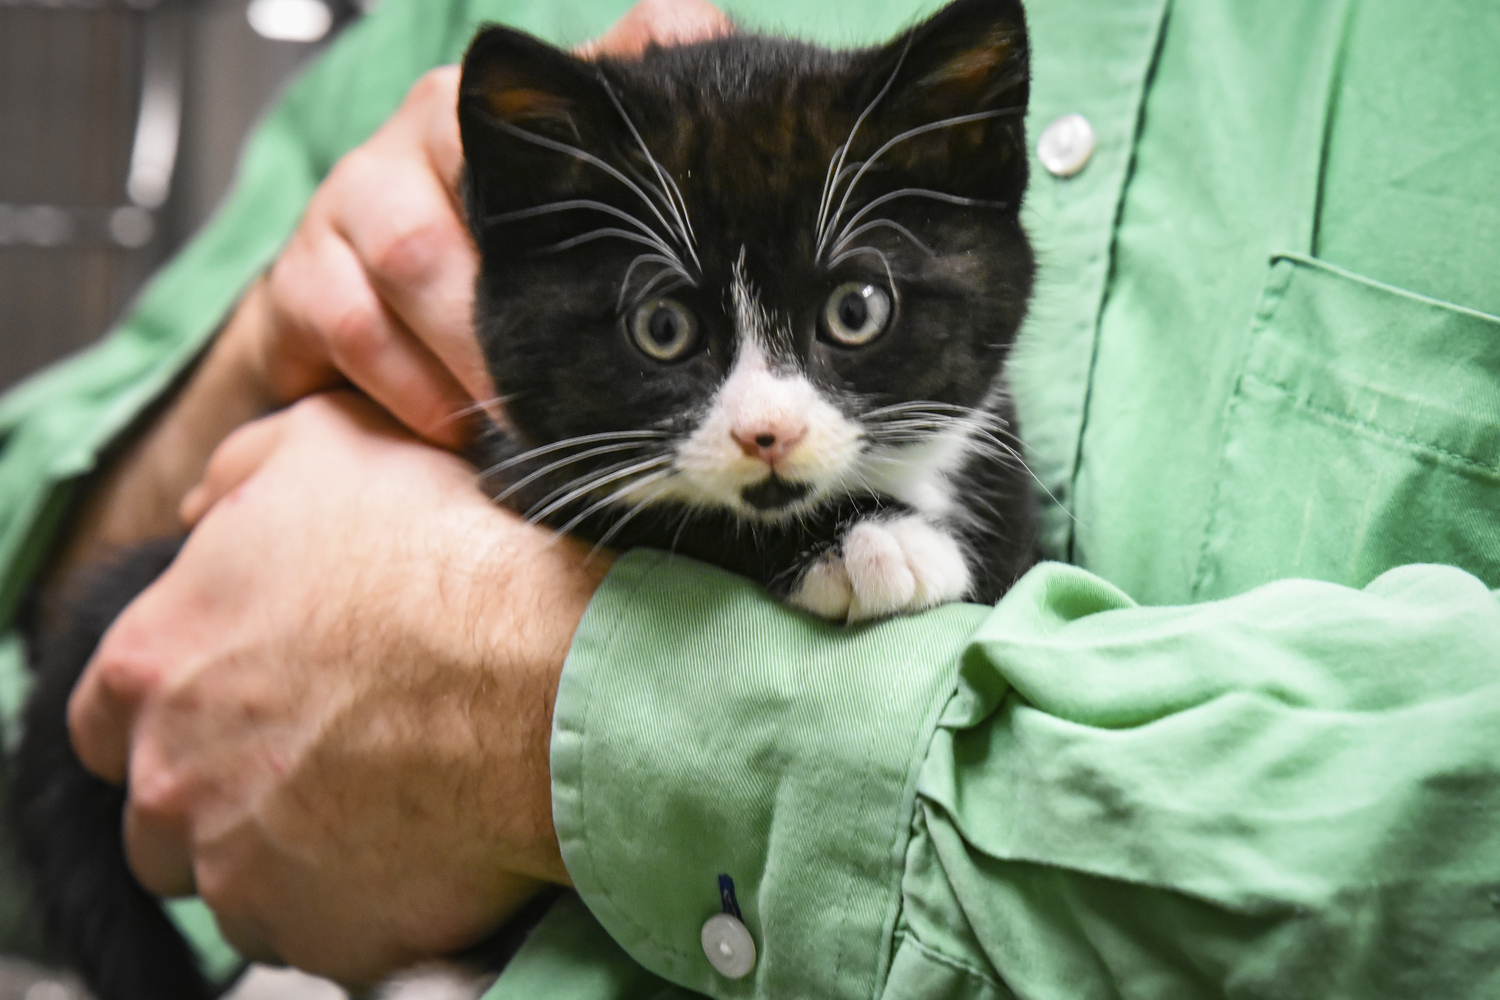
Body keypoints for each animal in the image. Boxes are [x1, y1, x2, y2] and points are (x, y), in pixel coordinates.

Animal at [11, 0, 1038, 995]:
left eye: (855, 310)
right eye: (662, 327)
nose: (768, 435)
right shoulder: (520, 458)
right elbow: (665, 513)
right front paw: (869, 544)